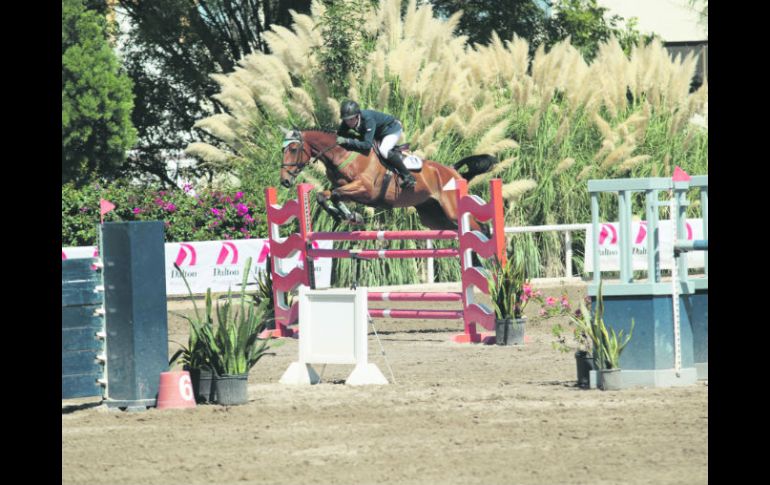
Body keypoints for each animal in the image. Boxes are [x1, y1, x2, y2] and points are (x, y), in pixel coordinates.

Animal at [280, 129, 496, 231]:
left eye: (293, 149)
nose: (285, 182)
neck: (344, 155)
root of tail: (453, 170)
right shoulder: (346, 189)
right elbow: (324, 196)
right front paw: (345, 215)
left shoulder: (365, 190)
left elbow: (335, 195)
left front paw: (351, 216)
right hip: (433, 217)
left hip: (451, 209)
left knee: (482, 228)